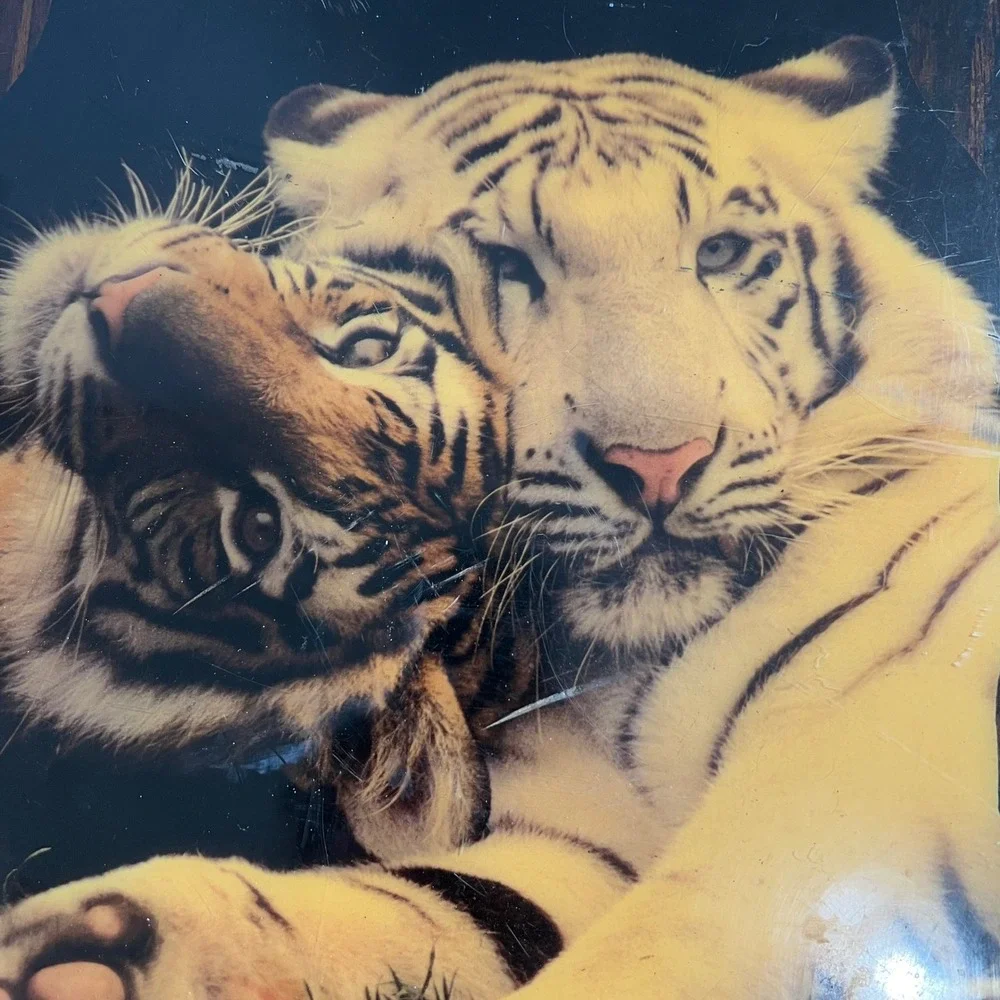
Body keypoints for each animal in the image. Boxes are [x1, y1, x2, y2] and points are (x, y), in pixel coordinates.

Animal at [2, 34, 1000, 1000]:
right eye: (510, 268)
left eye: (719, 254)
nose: (659, 466)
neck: (609, 674)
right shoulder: (567, 826)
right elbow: (445, 903)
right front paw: (79, 959)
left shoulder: (848, 764)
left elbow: (659, 944)